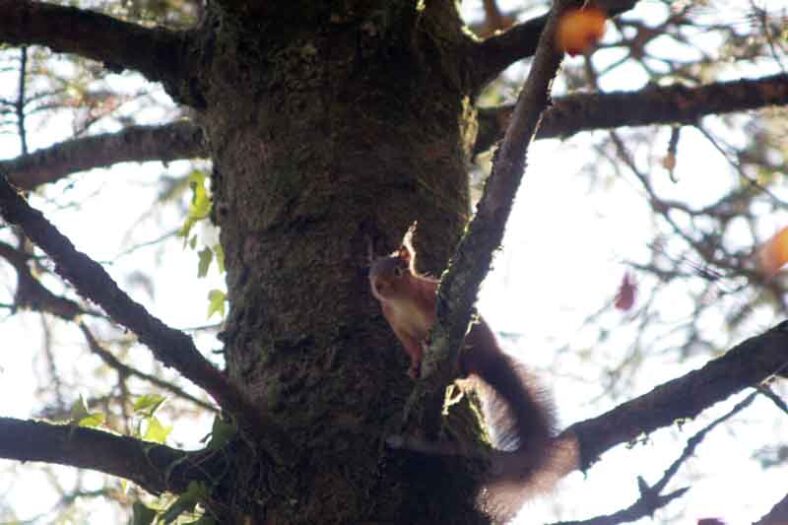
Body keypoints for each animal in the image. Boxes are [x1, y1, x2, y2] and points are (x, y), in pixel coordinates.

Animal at [369, 230, 560, 519]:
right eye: (370, 273)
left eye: (397, 270)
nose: (379, 286)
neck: (401, 303)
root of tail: (491, 358)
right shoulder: (399, 329)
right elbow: (412, 349)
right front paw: (414, 367)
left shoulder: (430, 302)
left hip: (474, 344)